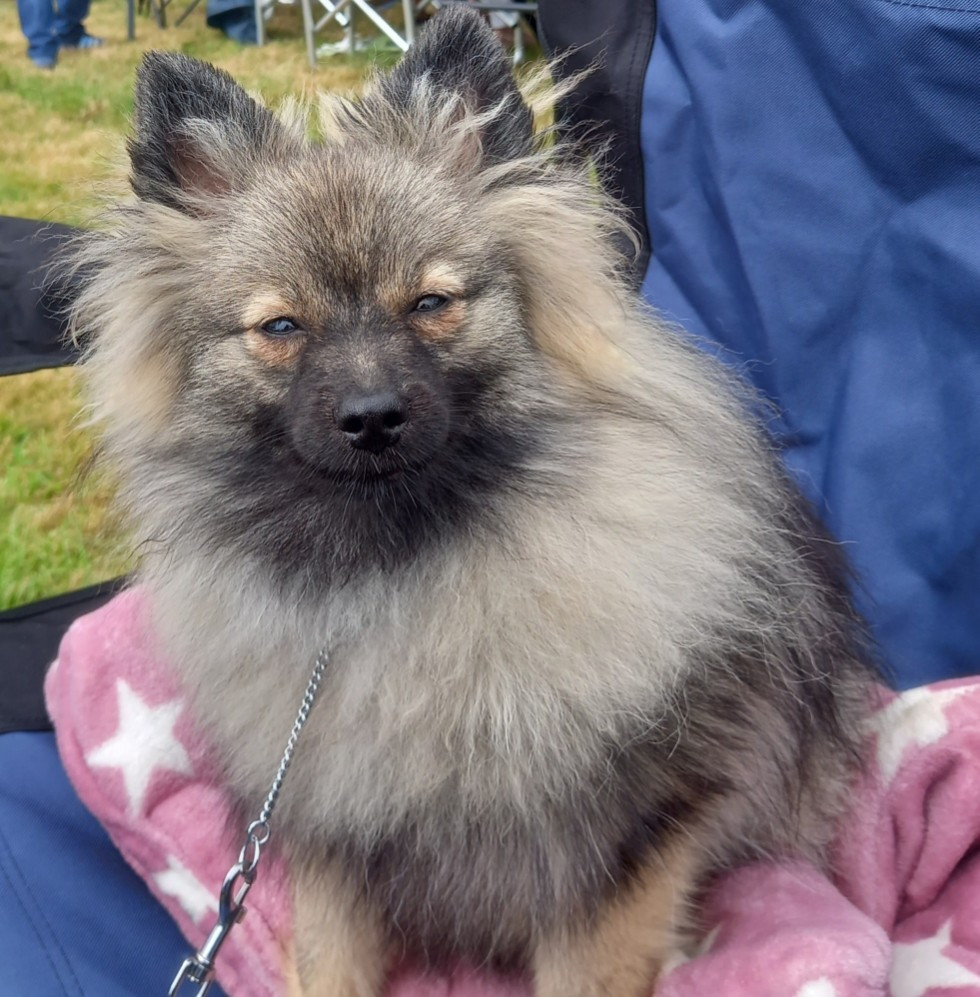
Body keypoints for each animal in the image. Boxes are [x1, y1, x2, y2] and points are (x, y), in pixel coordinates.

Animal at [69, 7, 876, 995]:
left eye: (430, 303)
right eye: (282, 327)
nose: (372, 416)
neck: (394, 576)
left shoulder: (620, 846)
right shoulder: (326, 826)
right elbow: (330, 955)